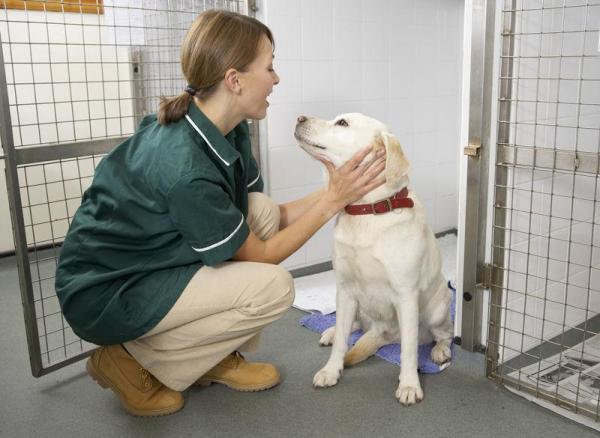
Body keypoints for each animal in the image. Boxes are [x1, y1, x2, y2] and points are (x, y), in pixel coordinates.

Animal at [292, 114, 452, 408]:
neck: (367, 211)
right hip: (355, 305)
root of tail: (382, 331)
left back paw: (439, 351)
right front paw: (331, 370)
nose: (299, 118)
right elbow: (343, 342)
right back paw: (331, 332)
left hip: (437, 310)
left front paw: (409, 385)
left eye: (342, 123)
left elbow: (409, 351)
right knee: (349, 327)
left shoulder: (406, 295)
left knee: (444, 334)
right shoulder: (344, 289)